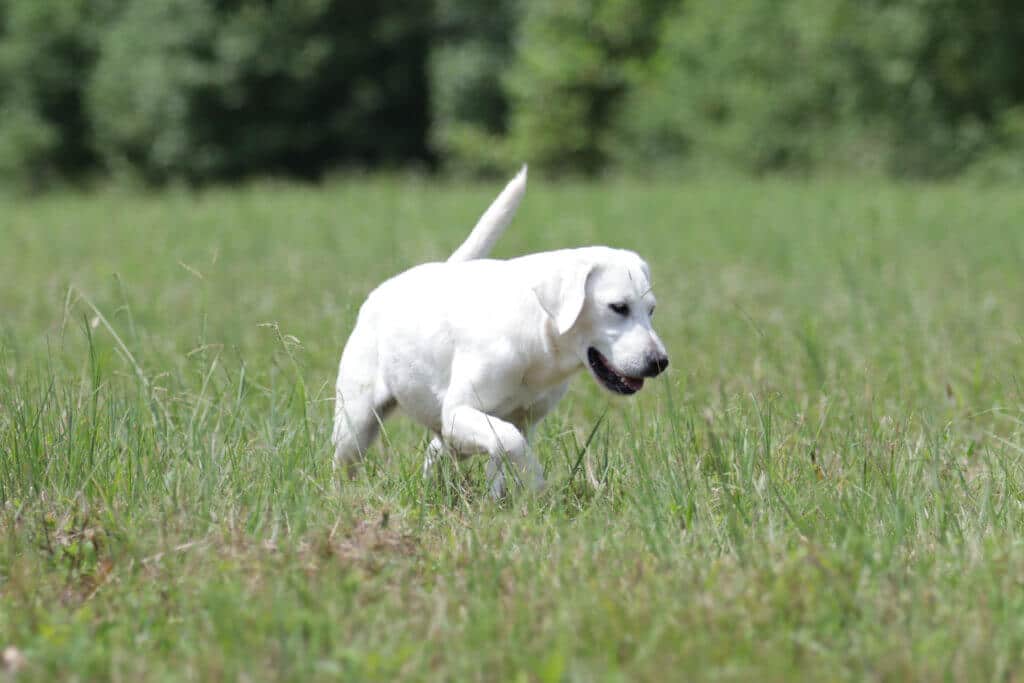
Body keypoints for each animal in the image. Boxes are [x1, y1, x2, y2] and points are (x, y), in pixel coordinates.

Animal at [335, 166, 671, 497]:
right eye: (618, 307)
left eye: (652, 310)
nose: (659, 362)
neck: (538, 346)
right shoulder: (458, 412)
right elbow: (510, 442)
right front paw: (537, 484)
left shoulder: (522, 419)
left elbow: (503, 455)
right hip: (355, 422)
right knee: (345, 463)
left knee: (438, 450)